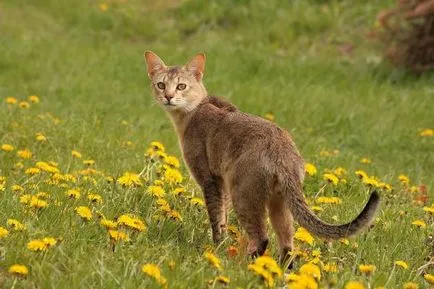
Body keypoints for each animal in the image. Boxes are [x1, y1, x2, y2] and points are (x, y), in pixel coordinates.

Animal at [143, 51, 380, 264]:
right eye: (161, 85)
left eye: (181, 86)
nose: (168, 97)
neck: (194, 111)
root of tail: (282, 151)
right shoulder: (222, 183)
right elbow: (223, 217)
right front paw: (222, 244)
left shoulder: (210, 180)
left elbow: (216, 217)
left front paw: (217, 247)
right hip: (279, 202)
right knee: (287, 244)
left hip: (243, 194)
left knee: (262, 237)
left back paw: (243, 266)